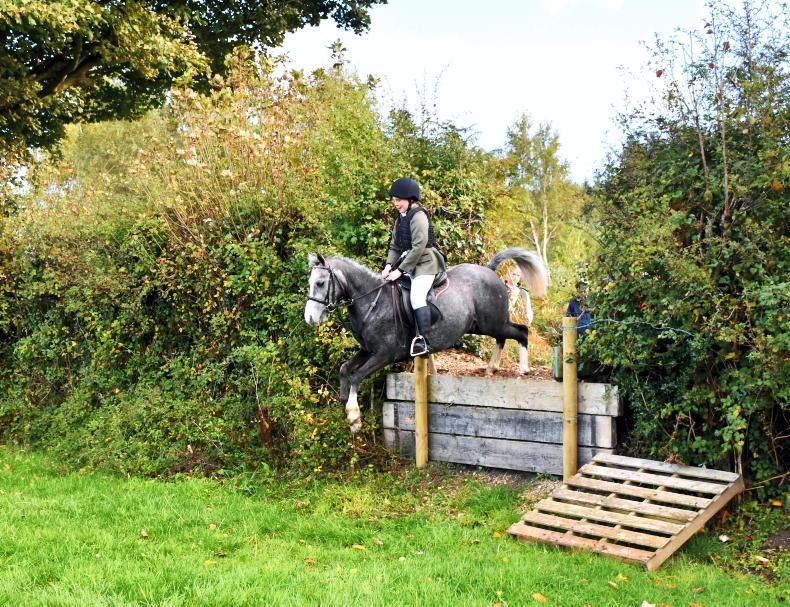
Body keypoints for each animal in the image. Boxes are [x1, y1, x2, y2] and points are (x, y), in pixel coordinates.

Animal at [304, 248, 548, 433]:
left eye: (321, 283)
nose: (310, 318)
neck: (374, 301)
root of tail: (488, 270)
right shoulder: (368, 350)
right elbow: (345, 369)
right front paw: (344, 402)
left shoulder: (384, 354)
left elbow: (356, 376)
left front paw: (354, 417)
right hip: (482, 325)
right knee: (503, 337)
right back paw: (491, 368)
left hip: (493, 322)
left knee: (521, 332)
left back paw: (523, 369)